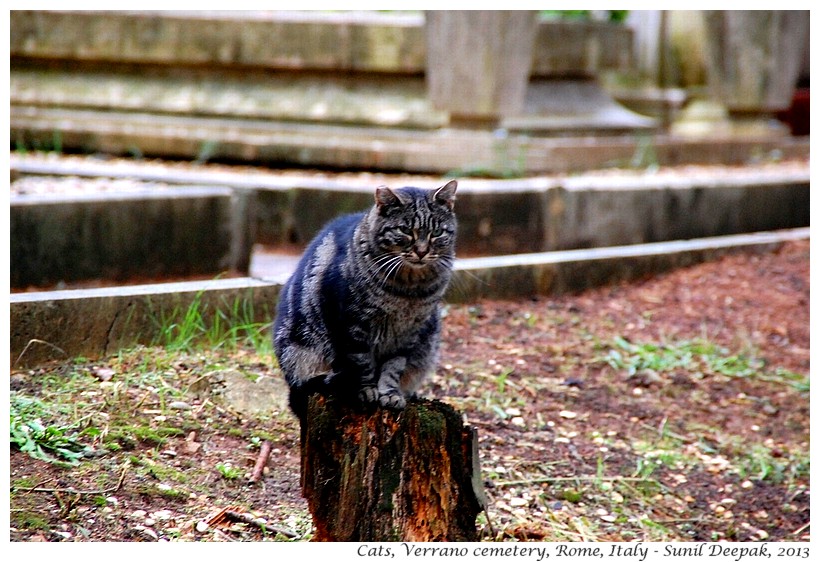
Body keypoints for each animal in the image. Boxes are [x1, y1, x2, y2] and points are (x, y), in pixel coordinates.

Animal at [274, 179, 454, 420]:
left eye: (437, 232)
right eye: (406, 230)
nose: (422, 251)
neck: (408, 290)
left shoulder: (408, 332)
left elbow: (394, 367)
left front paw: (390, 393)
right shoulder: (354, 326)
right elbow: (362, 364)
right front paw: (367, 391)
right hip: (299, 353)